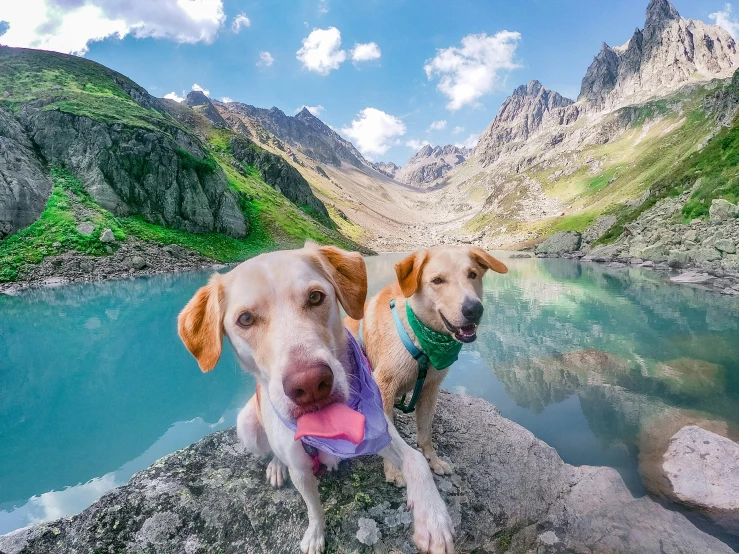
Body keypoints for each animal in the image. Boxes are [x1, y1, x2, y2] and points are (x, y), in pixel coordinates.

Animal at [181, 244, 456, 548]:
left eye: (315, 297)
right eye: (245, 319)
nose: (310, 383)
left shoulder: (378, 430)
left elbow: (415, 460)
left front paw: (433, 517)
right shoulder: (300, 470)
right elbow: (313, 507)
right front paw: (315, 535)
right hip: (248, 427)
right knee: (271, 450)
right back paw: (276, 466)